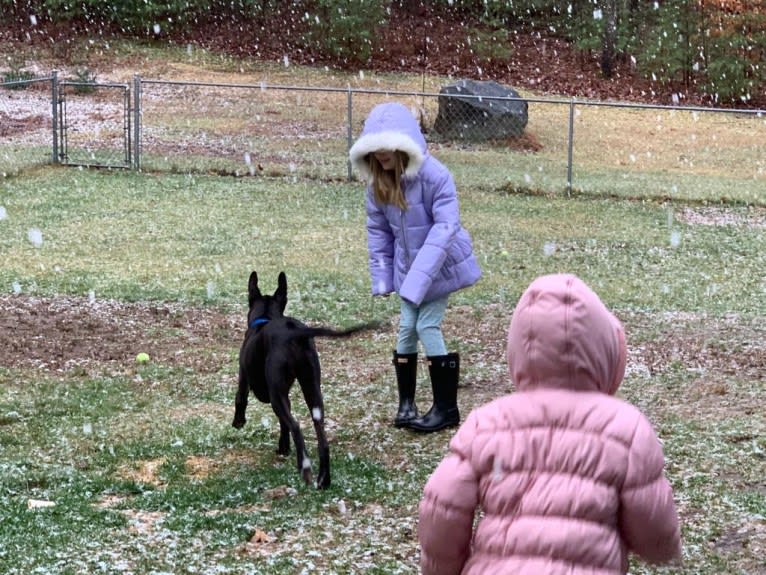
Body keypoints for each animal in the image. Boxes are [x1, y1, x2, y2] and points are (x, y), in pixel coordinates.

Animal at [234, 272, 378, 490]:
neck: (265, 318)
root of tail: (295, 332)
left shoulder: (244, 373)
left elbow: (240, 398)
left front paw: (238, 421)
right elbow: (282, 424)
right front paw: (283, 448)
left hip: (277, 395)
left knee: (296, 426)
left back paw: (305, 467)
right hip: (312, 387)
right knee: (320, 434)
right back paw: (323, 479)